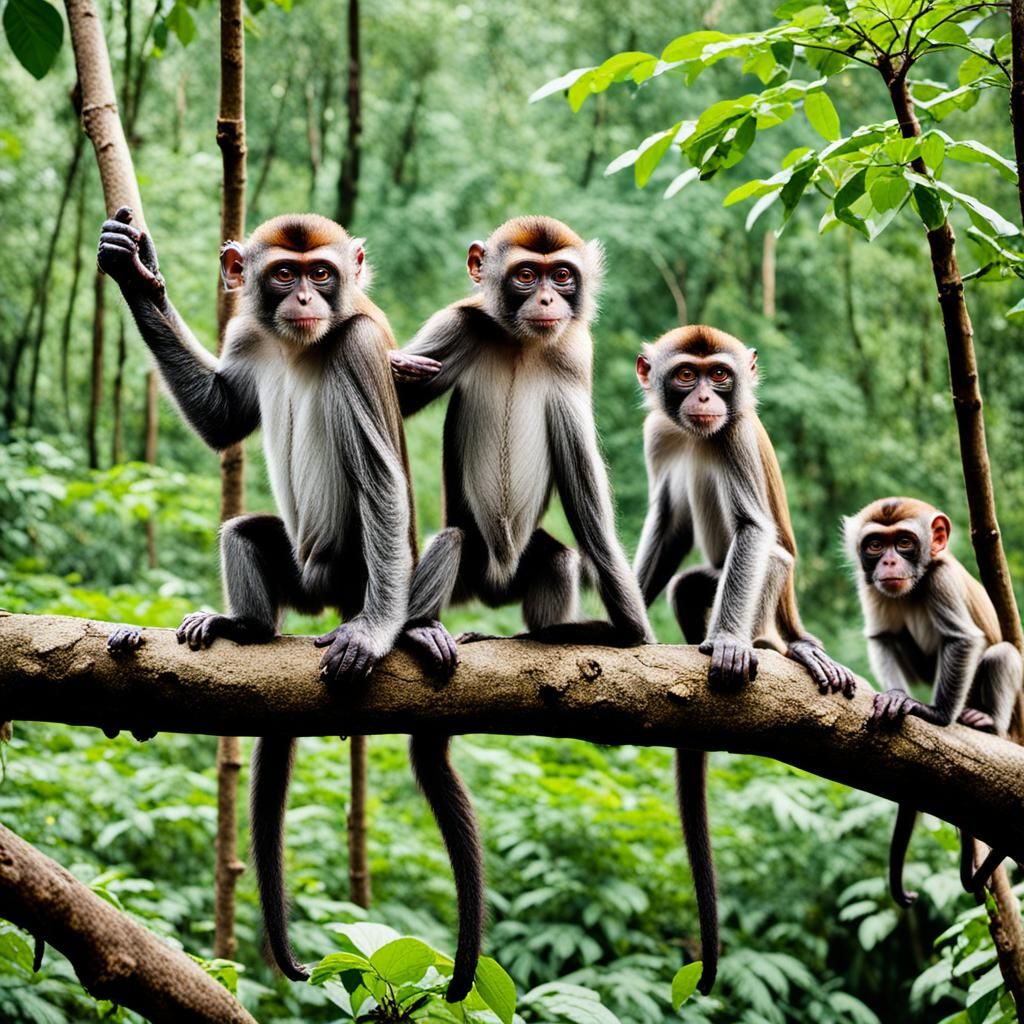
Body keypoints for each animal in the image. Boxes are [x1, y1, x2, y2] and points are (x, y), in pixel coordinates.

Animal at [97, 207, 455, 983]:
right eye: (283, 275)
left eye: (323, 272)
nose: (306, 300)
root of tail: (325, 592)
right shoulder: (246, 333)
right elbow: (223, 416)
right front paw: (137, 273)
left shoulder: (359, 345)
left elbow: (382, 481)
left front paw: (376, 635)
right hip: (298, 567)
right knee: (246, 532)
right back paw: (245, 626)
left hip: (354, 570)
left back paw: (392, 624)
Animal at [390, 215, 655, 1001]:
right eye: (524, 275)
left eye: (562, 275)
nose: (545, 300)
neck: (520, 342)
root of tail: (493, 582)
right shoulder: (458, 324)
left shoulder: (574, 354)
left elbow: (585, 483)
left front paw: (632, 626)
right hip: (469, 558)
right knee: (449, 538)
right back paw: (424, 630)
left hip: (523, 571)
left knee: (558, 557)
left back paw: (556, 631)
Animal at [633, 324, 857, 994]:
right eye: (686, 375)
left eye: (720, 376)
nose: (706, 398)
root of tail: (791, 618)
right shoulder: (658, 433)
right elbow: (670, 522)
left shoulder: (732, 437)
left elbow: (756, 532)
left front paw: (730, 642)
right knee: (687, 585)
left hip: (778, 605)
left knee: (772, 558)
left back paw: (765, 646)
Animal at [844, 497, 1023, 906]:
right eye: (875, 545)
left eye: (904, 542)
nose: (889, 563)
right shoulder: (870, 585)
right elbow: (882, 637)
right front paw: (896, 696)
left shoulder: (941, 580)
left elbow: (962, 639)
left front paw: (932, 713)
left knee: (1003, 653)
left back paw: (985, 722)